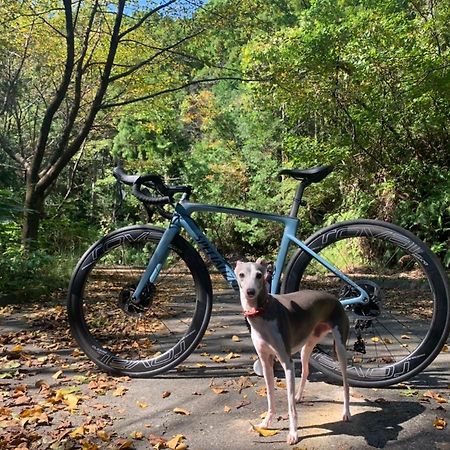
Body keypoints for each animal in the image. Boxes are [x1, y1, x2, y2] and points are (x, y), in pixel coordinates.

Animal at [236, 258, 352, 444]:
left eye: (259, 275)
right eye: (241, 274)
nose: (250, 292)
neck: (262, 312)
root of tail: (336, 300)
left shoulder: (287, 362)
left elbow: (290, 406)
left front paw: (293, 434)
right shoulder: (266, 362)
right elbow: (270, 396)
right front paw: (266, 423)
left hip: (340, 348)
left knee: (346, 383)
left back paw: (346, 412)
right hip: (307, 347)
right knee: (305, 370)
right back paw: (299, 396)